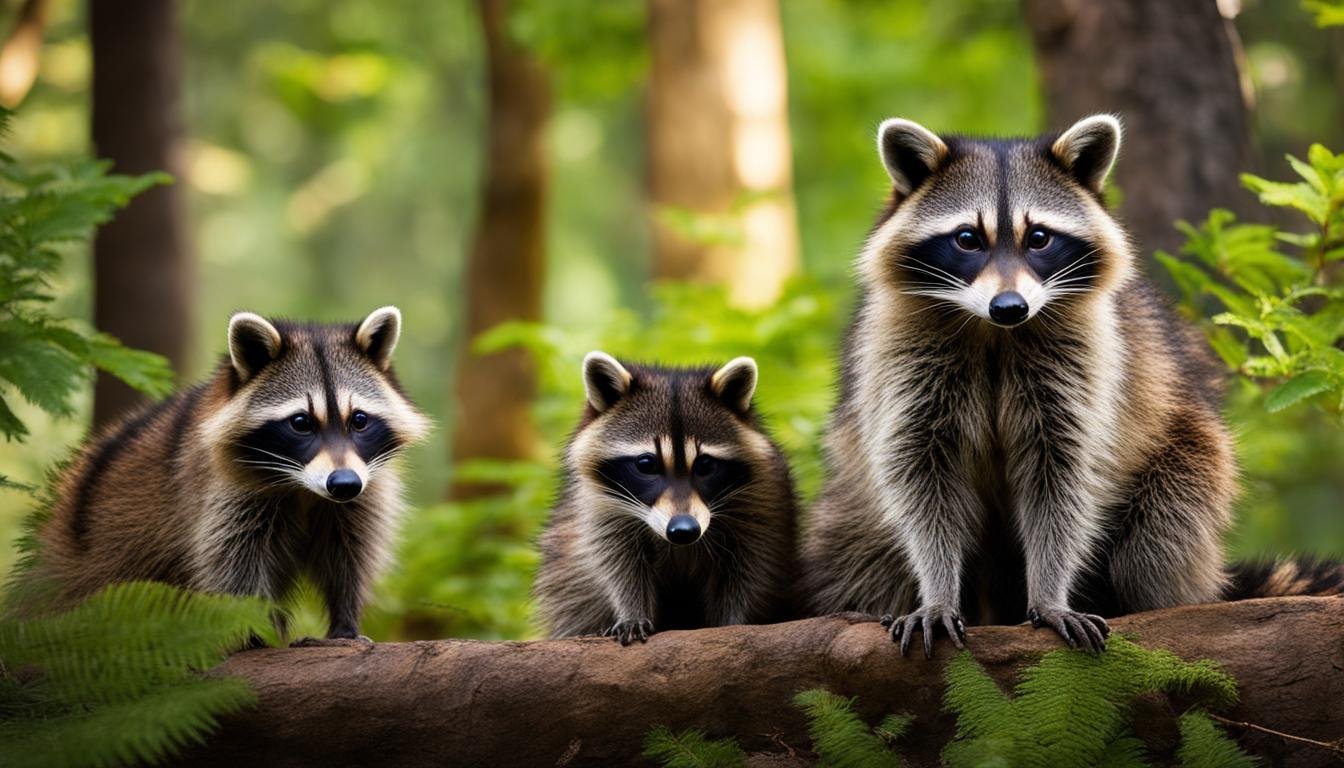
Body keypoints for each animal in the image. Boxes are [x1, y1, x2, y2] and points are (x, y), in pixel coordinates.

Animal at [27, 307, 429, 642]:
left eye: (359, 420)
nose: (344, 484)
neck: (302, 488)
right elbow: (233, 565)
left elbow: (349, 555)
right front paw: (257, 634)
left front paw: (345, 622)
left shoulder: (364, 488)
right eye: (301, 422)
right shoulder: (221, 493)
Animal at [534, 352, 798, 644]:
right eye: (647, 464)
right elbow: (616, 563)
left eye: (705, 465)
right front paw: (632, 610)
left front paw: (733, 621)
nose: (684, 530)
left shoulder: (760, 500)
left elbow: (748, 569)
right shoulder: (599, 503)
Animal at [801, 115, 1243, 656]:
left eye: (1039, 238)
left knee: (1161, 535)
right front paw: (937, 591)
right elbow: (921, 478)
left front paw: (1050, 593)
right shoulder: (900, 357)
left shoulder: (1086, 358)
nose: (1009, 306)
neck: (994, 332)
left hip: (1188, 452)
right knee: (856, 553)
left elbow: (1062, 477)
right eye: (967, 238)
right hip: (850, 502)